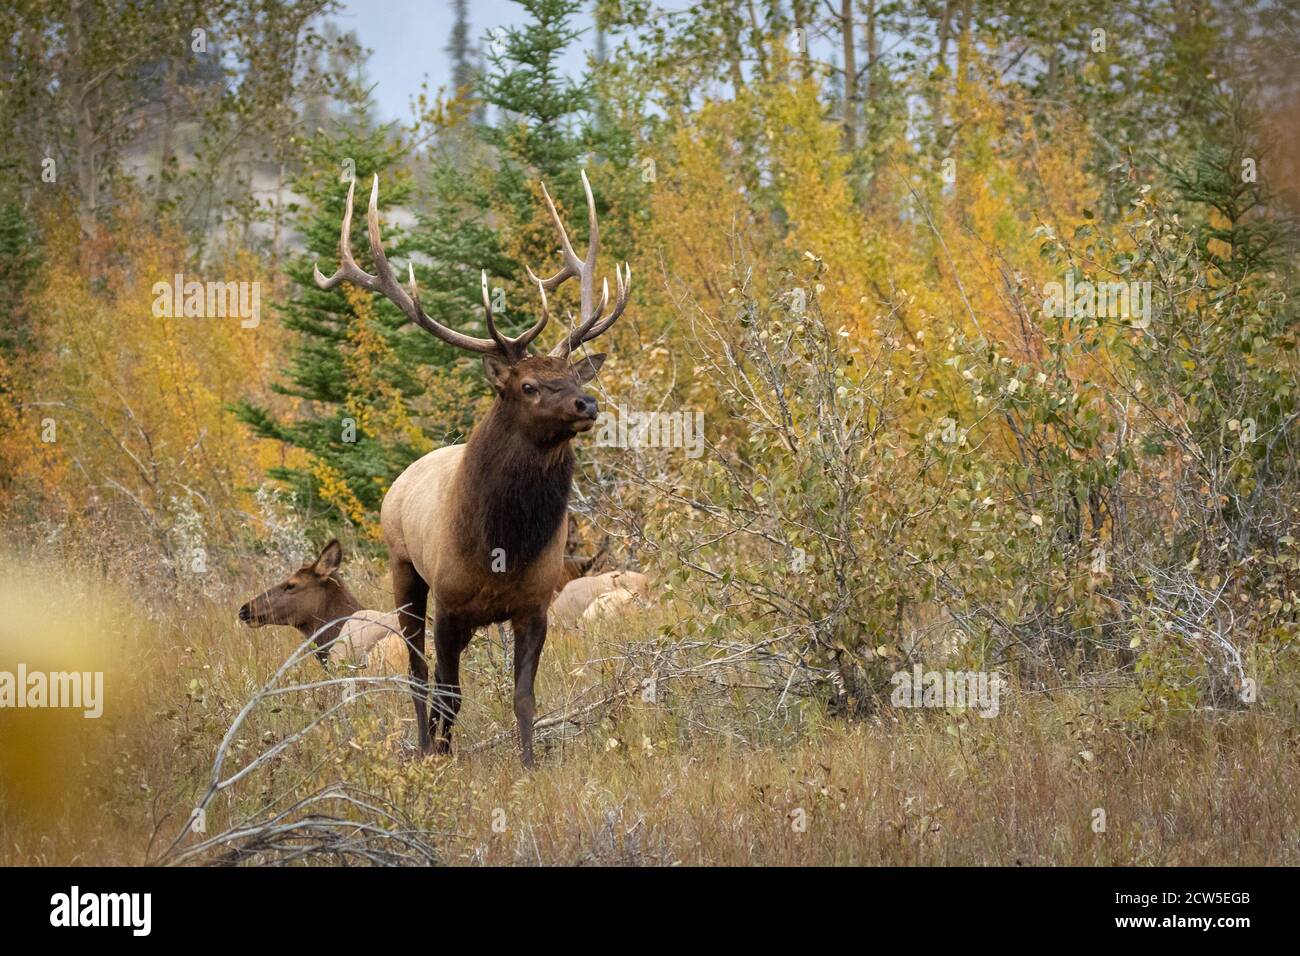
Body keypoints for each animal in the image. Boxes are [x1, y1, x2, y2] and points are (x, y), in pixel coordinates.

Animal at [319, 167, 634, 764]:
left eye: (574, 377)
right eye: (529, 385)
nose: (588, 404)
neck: (501, 546)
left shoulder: (535, 604)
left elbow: (523, 695)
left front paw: (529, 765)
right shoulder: (449, 602)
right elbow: (447, 690)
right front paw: (440, 759)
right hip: (403, 568)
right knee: (417, 675)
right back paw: (425, 744)